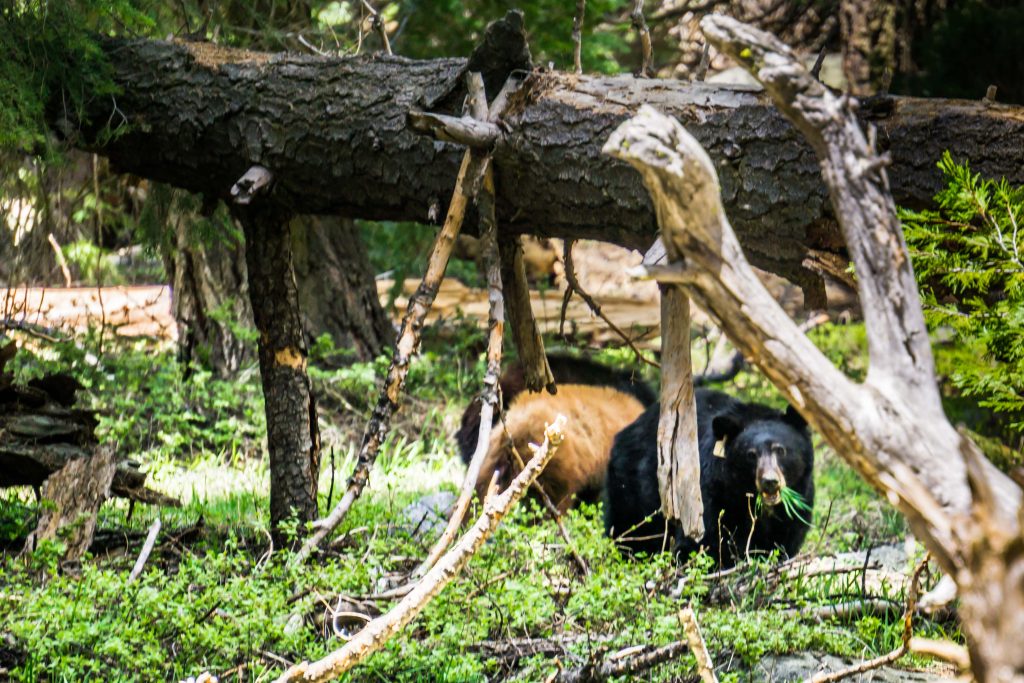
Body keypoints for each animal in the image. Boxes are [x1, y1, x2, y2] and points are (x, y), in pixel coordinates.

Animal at [598, 387, 815, 569]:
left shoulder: (799, 498)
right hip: (631, 486)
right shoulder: (708, 490)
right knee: (629, 529)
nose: (770, 482)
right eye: (751, 455)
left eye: (781, 450)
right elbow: (704, 539)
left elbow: (786, 538)